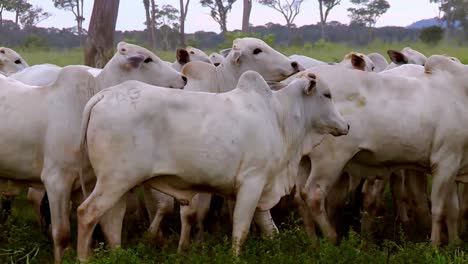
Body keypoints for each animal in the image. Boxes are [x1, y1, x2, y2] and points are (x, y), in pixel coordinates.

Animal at [0, 41, 185, 262]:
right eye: (147, 59)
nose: (183, 78)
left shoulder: (87, 184)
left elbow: (102, 228)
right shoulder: (56, 181)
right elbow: (61, 234)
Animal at [76, 69, 348, 260]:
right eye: (326, 94)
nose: (346, 125)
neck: (279, 117)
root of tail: (105, 94)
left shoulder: (262, 188)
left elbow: (271, 231)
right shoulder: (252, 181)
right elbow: (241, 230)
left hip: (118, 184)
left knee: (111, 220)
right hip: (114, 180)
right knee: (86, 213)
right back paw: (84, 258)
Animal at [298, 56, 468, 248]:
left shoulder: (454, 165)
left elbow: (453, 209)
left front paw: (455, 242)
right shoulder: (445, 162)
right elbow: (438, 210)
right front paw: (434, 245)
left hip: (304, 161)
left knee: (301, 197)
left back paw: (313, 243)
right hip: (329, 161)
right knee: (314, 195)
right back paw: (332, 237)